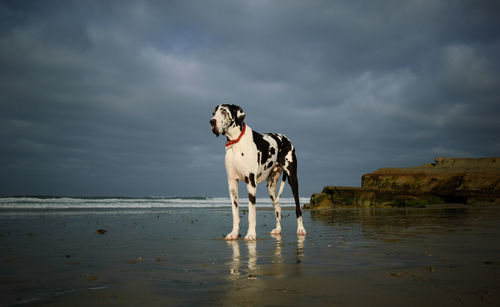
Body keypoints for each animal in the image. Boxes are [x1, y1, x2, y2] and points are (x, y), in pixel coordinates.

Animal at [210, 104, 306, 242]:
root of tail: (286, 139)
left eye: (223, 111)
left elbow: (251, 213)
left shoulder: (251, 184)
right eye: (213, 113)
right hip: (271, 186)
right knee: (278, 207)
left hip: (293, 179)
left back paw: (301, 229)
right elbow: (235, 213)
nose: (212, 121)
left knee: (298, 207)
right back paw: (278, 229)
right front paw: (234, 233)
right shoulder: (232, 183)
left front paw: (251, 234)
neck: (236, 142)